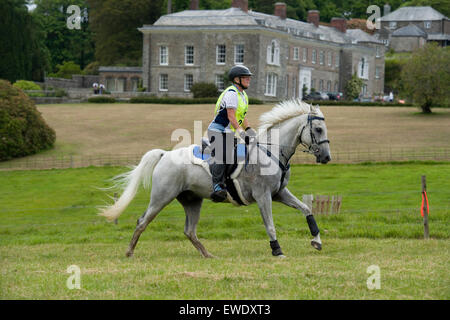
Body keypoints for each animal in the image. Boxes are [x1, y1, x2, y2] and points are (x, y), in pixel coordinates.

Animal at [98, 100, 330, 258]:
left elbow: (307, 210)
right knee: (143, 221)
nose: (327, 158)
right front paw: (277, 250)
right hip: (161, 197)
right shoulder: (263, 195)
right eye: (318, 129)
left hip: (192, 200)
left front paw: (317, 241)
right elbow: (270, 225)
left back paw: (208, 254)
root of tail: (165, 155)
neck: (271, 151)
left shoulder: (279, 193)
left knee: (189, 231)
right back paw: (129, 252)